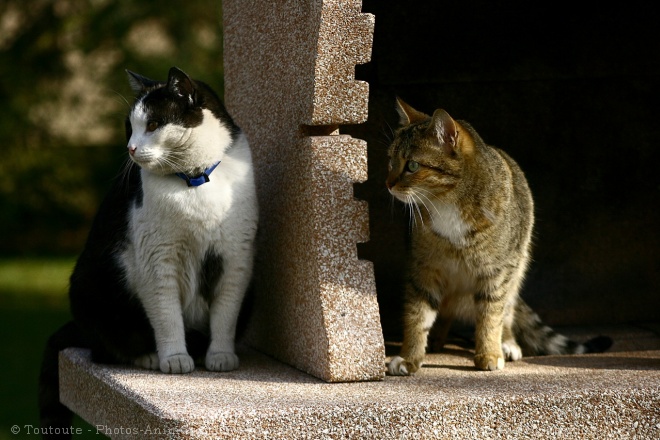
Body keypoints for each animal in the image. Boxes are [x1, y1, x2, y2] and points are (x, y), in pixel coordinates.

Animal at [38, 68, 260, 434]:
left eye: (154, 125)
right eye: (130, 126)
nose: (130, 148)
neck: (193, 182)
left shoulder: (236, 259)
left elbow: (225, 314)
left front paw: (220, 356)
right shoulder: (157, 260)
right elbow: (167, 315)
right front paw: (174, 358)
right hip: (91, 287)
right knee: (105, 348)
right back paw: (149, 356)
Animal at [386, 98, 608, 372]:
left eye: (413, 165)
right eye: (390, 161)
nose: (388, 183)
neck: (446, 203)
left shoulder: (497, 272)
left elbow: (491, 316)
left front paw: (489, 353)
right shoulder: (424, 269)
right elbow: (417, 316)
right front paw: (410, 357)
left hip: (517, 269)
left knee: (507, 311)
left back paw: (507, 343)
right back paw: (438, 339)